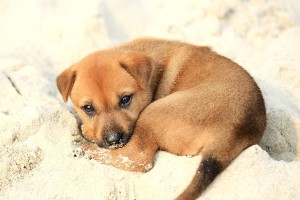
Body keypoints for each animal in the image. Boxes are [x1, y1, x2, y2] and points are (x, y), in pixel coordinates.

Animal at [57, 38, 266, 200]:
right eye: (88, 108)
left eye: (126, 99)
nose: (114, 140)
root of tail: (234, 129)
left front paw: (87, 132)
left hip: (153, 112)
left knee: (136, 158)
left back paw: (84, 147)